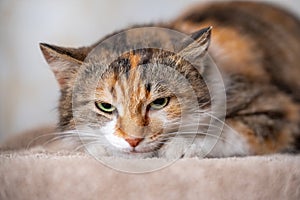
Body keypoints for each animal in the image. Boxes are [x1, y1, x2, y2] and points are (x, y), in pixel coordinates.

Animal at [23, 0, 300, 159]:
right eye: (105, 106)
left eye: (159, 102)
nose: (132, 140)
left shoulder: (279, 111)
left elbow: (232, 129)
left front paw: (182, 145)